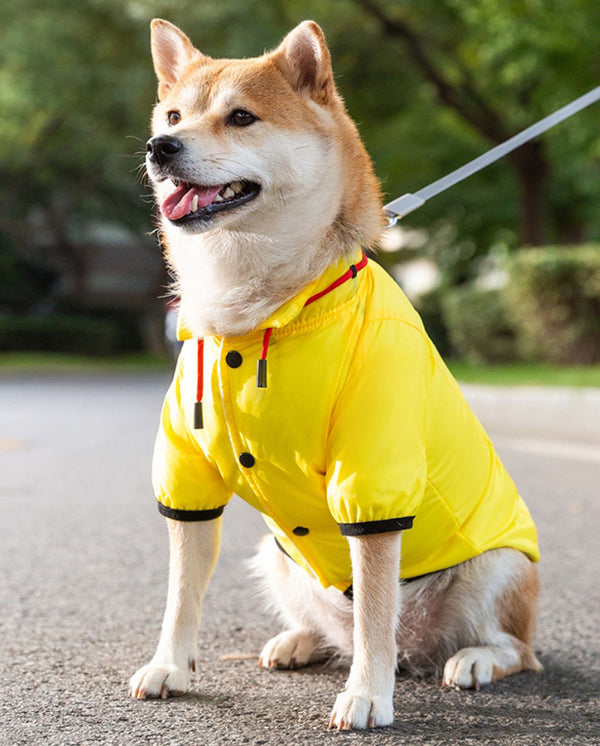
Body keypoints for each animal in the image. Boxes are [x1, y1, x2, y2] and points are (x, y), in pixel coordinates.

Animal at [129, 17, 540, 728]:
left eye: (241, 117)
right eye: (174, 115)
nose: (161, 146)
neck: (258, 318)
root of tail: (420, 650)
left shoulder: (373, 479)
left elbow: (375, 607)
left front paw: (368, 694)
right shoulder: (187, 475)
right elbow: (181, 595)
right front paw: (169, 667)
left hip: (499, 566)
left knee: (508, 646)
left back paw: (472, 660)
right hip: (276, 556)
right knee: (339, 630)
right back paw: (299, 642)